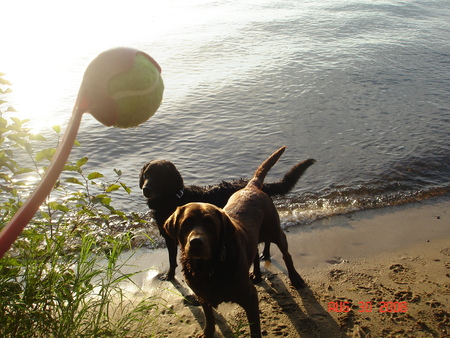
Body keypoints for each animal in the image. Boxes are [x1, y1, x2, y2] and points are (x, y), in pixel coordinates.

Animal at [139, 156, 314, 280]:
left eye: (160, 176)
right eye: (147, 174)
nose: (146, 188)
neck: (173, 199)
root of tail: (259, 185)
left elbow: (172, 260)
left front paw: (169, 276)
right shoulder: (170, 238)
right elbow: (171, 259)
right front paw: (170, 275)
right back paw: (265, 254)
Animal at [163, 147, 304, 338]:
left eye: (210, 224)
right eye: (186, 224)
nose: (196, 242)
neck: (209, 269)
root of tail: (250, 186)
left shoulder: (249, 296)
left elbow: (255, 328)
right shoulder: (203, 297)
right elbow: (209, 319)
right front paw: (207, 332)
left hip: (275, 231)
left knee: (286, 254)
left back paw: (295, 277)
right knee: (254, 254)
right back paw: (257, 274)